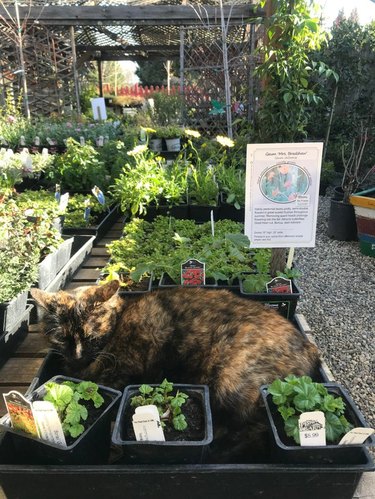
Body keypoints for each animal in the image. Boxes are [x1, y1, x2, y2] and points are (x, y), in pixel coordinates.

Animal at [30, 282, 322, 460]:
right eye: (61, 338)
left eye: (90, 336)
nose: (77, 355)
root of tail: (311, 349)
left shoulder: (118, 375)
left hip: (231, 381)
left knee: (258, 428)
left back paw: (216, 450)